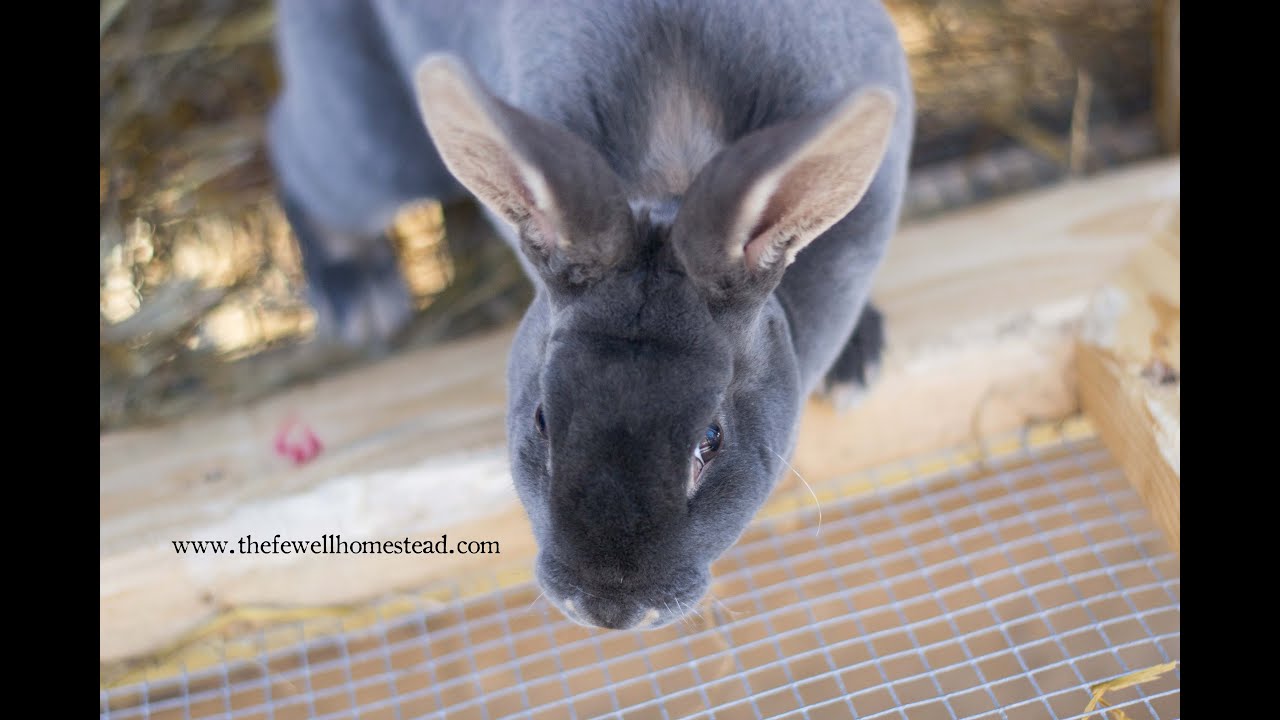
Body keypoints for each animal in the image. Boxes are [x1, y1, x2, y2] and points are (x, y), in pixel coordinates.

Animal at [267, 0, 913, 630]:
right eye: (542, 420)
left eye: (712, 440)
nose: (607, 609)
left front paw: (854, 367)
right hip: (370, 146)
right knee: (300, 158)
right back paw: (359, 298)